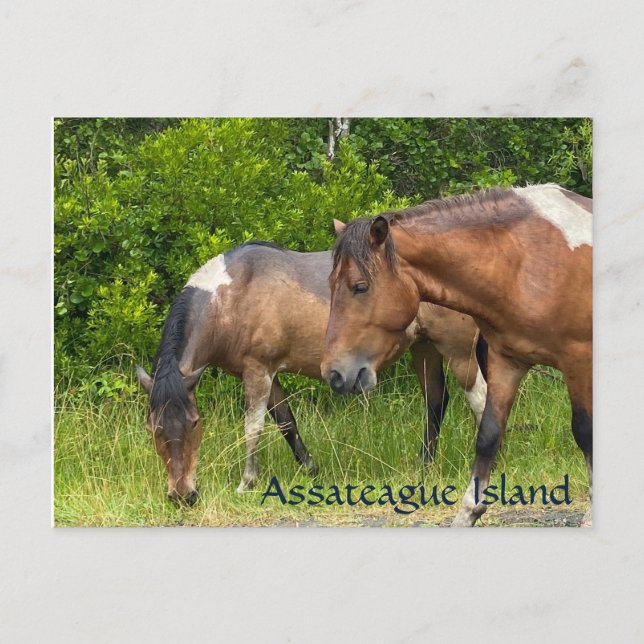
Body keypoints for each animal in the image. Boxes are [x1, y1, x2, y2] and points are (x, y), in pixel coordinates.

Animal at [136, 241, 486, 504]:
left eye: (195, 423)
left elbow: (253, 428)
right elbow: (286, 423)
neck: (231, 298)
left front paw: (247, 482)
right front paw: (311, 470)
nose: (183, 495)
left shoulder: (257, 371)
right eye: (153, 428)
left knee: (479, 400)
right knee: (436, 402)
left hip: (457, 350)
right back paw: (424, 467)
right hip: (424, 348)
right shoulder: (269, 374)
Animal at [321, 184, 592, 527]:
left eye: (360, 286)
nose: (334, 372)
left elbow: (585, 432)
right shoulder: (507, 362)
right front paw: (468, 513)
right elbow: (488, 435)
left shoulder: (578, 360)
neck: (526, 262)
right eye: (332, 284)